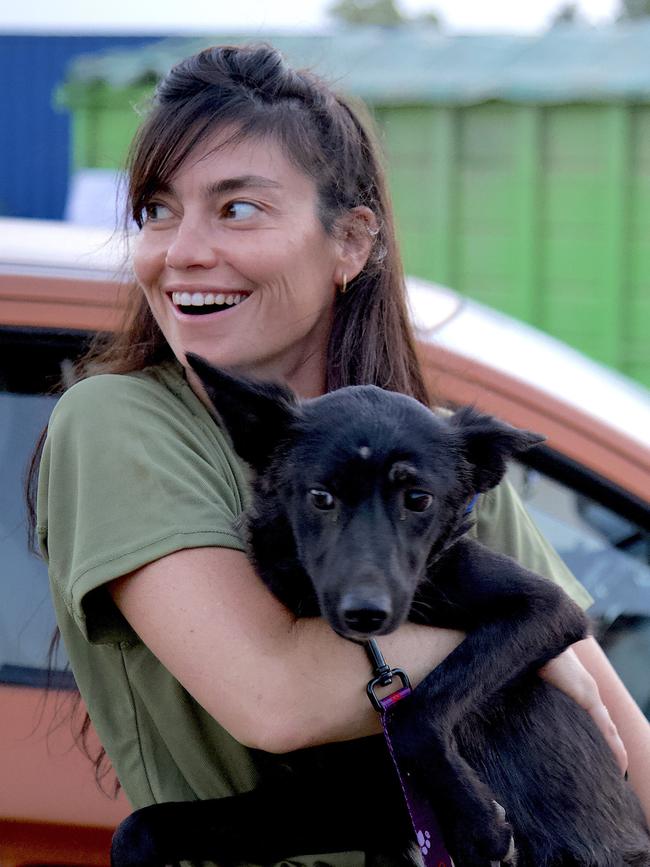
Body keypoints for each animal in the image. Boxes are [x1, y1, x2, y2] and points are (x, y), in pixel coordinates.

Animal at [110, 354, 648, 867]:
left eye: (418, 499)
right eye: (320, 496)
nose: (365, 614)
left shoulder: (547, 609)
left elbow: (417, 713)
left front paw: (478, 824)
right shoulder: (323, 804)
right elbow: (137, 829)